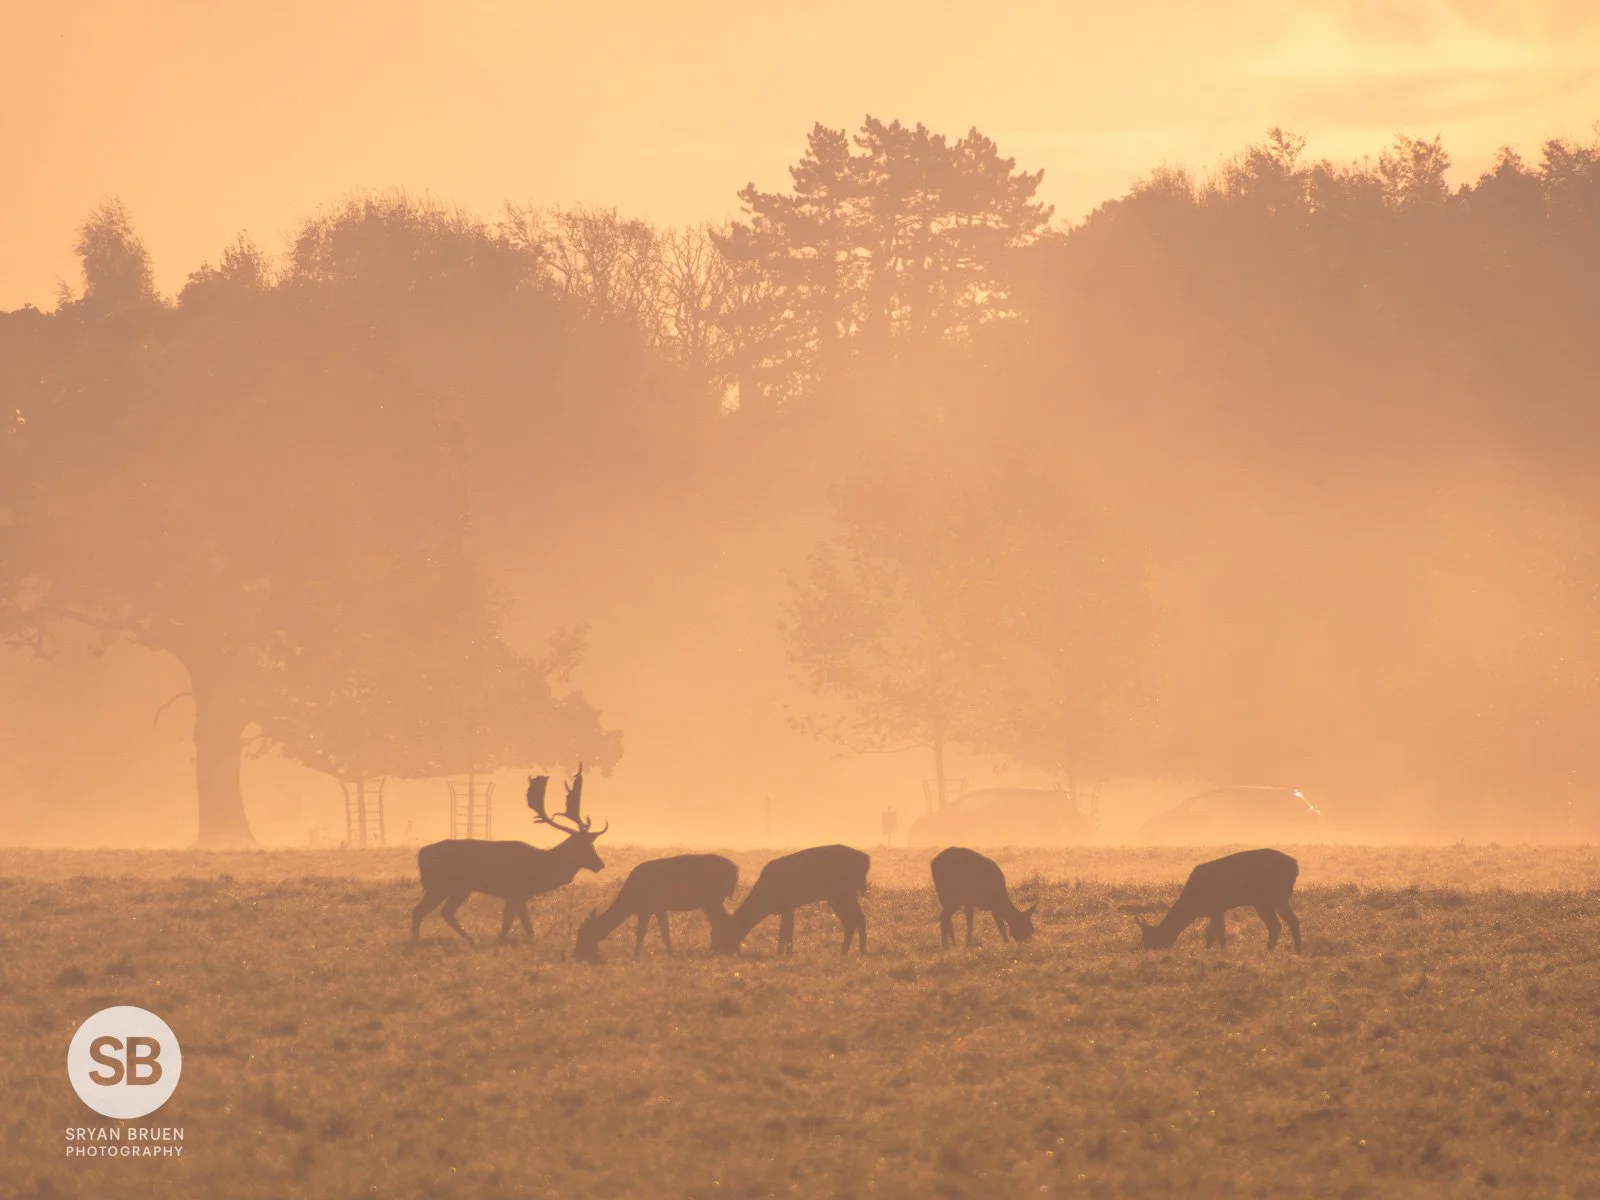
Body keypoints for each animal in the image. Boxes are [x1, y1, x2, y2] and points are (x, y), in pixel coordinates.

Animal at [411, 765, 607, 944]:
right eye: (582, 846)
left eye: (591, 844)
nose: (600, 864)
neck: (542, 869)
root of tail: (421, 853)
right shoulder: (516, 892)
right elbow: (525, 927)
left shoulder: (512, 896)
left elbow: (507, 926)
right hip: (440, 885)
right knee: (419, 910)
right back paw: (416, 944)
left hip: (460, 888)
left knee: (444, 912)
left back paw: (471, 941)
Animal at [573, 854, 739, 963]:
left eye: (584, 934)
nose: (577, 954)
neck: (631, 900)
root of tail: (736, 870)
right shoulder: (658, 908)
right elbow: (664, 932)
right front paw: (671, 954)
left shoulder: (647, 908)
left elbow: (642, 934)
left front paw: (635, 957)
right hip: (711, 901)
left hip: (712, 899)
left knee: (722, 922)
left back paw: (716, 951)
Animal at [710, 844, 870, 957]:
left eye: (725, 932)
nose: (720, 951)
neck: (765, 899)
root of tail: (865, 859)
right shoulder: (787, 907)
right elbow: (786, 931)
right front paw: (784, 952)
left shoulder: (787, 904)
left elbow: (785, 931)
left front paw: (783, 953)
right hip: (839, 896)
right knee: (852, 920)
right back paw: (847, 951)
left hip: (843, 894)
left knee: (858, 918)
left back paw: (859, 951)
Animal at [1134, 848, 1301, 953]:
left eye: (1149, 938)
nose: (1147, 952)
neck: (1193, 904)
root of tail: (1296, 866)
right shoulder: (1216, 909)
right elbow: (1212, 932)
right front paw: (1208, 951)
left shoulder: (1216, 906)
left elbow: (1219, 932)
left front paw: (1221, 952)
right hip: (1271, 899)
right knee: (1287, 921)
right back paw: (1292, 950)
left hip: (1271, 897)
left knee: (1279, 923)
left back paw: (1273, 950)